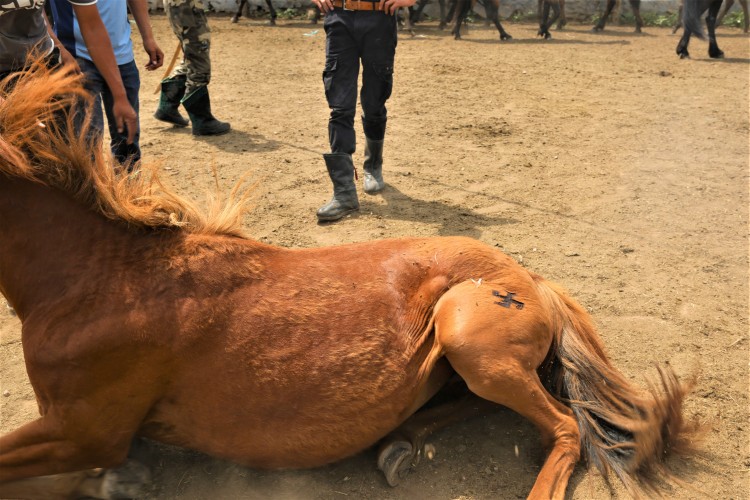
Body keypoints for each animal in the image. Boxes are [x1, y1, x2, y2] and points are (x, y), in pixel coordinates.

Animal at [1, 61, 700, 496]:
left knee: (564, 429)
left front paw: (114, 480)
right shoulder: (79, 433)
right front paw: (117, 481)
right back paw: (400, 442)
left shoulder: (84, 430)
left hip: (469, 338)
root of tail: (528, 275)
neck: (98, 278)